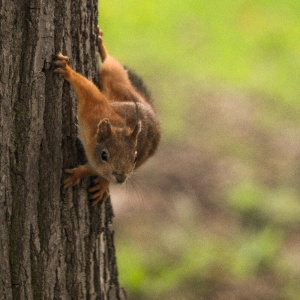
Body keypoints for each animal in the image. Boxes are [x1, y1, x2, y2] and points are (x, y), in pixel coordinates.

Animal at [54, 29, 162, 205]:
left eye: (134, 158)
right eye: (104, 155)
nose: (120, 178)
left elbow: (94, 169)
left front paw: (80, 173)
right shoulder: (94, 109)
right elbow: (87, 88)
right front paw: (67, 70)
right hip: (116, 82)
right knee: (112, 65)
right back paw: (101, 45)